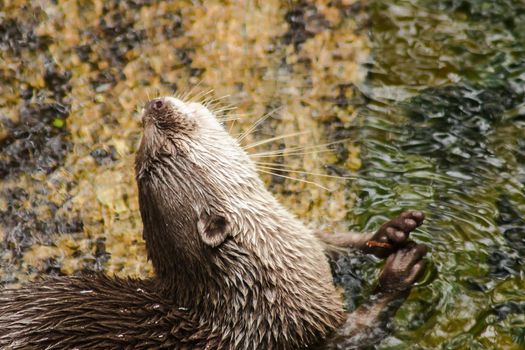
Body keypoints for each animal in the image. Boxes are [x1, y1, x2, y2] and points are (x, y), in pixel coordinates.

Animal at [0, 96, 426, 350]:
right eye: (168, 144)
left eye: (140, 156)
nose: (153, 105)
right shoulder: (297, 333)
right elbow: (360, 329)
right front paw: (397, 272)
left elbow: (325, 239)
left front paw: (389, 232)